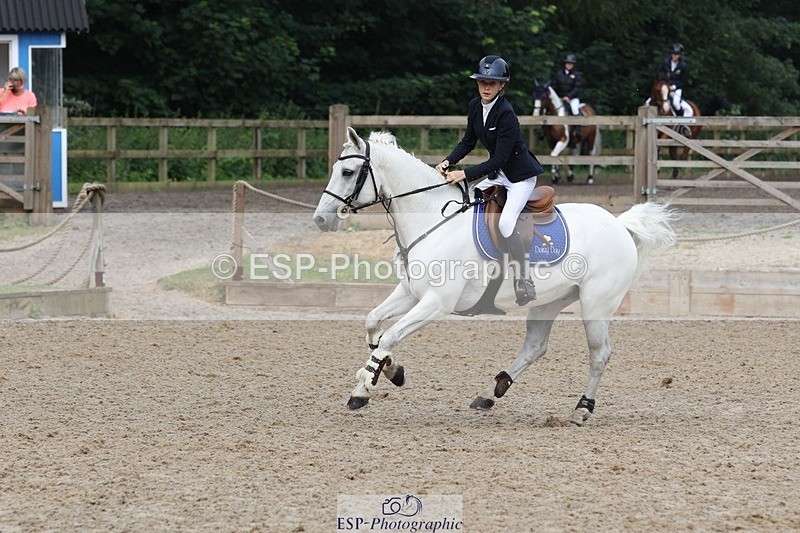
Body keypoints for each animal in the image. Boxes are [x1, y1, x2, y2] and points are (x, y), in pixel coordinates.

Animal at [314, 127, 677, 426]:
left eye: (347, 172)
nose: (320, 219)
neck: (432, 220)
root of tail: (619, 223)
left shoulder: (437, 302)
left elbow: (389, 336)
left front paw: (364, 388)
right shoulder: (411, 292)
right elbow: (373, 324)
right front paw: (389, 370)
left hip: (595, 304)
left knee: (599, 354)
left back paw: (582, 409)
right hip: (548, 302)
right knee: (535, 347)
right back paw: (490, 394)